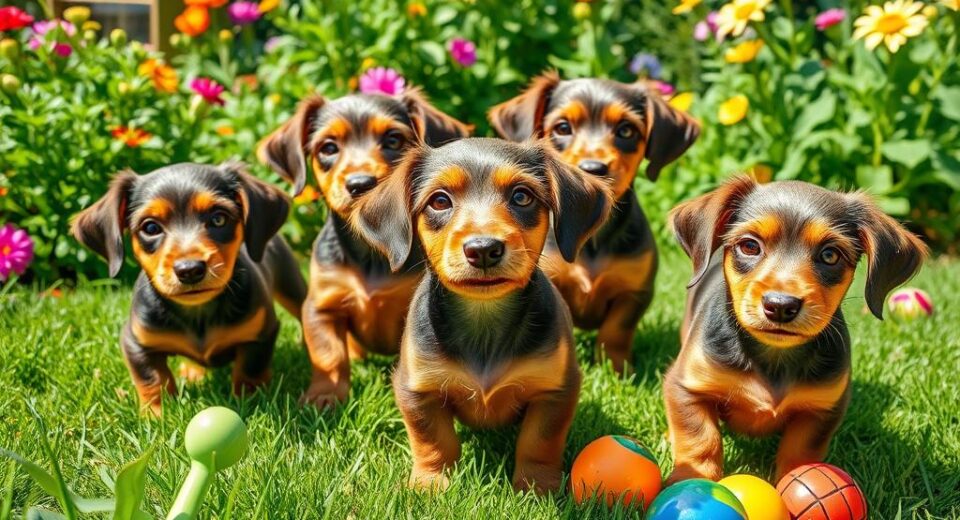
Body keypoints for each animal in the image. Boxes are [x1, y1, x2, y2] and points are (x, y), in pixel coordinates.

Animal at [73, 162, 306, 414]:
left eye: (219, 219)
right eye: (151, 227)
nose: (190, 270)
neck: (198, 312)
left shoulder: (261, 334)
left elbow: (249, 372)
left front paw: (249, 403)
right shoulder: (135, 342)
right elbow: (152, 379)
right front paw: (157, 414)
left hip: (291, 284)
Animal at [258, 90, 472, 410]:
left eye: (393, 140)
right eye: (328, 147)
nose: (360, 184)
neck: (370, 249)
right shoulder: (322, 306)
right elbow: (329, 355)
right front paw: (324, 396)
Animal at [354, 139, 616, 496]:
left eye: (522, 196)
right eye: (439, 201)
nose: (483, 249)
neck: (484, 320)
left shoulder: (556, 389)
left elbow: (539, 442)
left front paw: (536, 486)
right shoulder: (417, 389)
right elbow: (433, 440)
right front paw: (430, 484)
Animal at [492, 72, 700, 374]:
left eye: (626, 130)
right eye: (562, 127)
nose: (593, 169)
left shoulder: (634, 293)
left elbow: (615, 331)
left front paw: (615, 370)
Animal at [664, 177, 928, 482]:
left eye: (830, 255)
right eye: (750, 246)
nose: (780, 305)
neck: (774, 357)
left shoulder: (822, 409)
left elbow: (800, 451)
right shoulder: (685, 386)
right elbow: (700, 439)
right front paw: (689, 481)